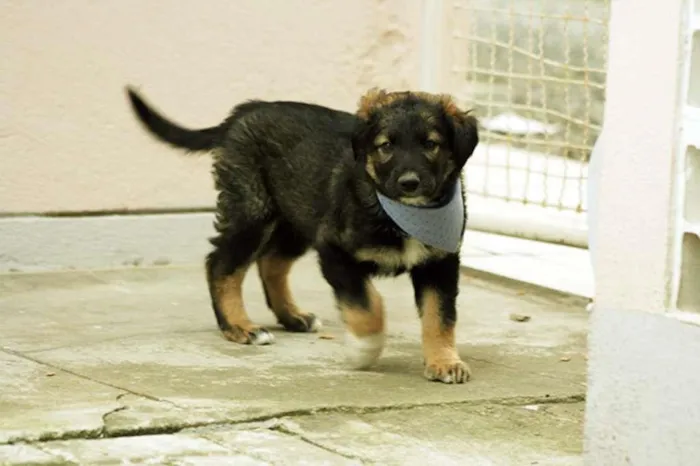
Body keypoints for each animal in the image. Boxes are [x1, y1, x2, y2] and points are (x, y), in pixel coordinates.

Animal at [125, 87, 479, 383]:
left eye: (431, 144)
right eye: (386, 146)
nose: (409, 183)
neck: (400, 212)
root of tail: (244, 112)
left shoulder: (440, 262)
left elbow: (440, 316)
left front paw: (444, 361)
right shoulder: (334, 249)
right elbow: (367, 304)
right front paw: (364, 348)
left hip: (295, 217)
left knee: (271, 263)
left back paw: (292, 317)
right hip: (252, 210)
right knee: (221, 264)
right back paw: (240, 327)